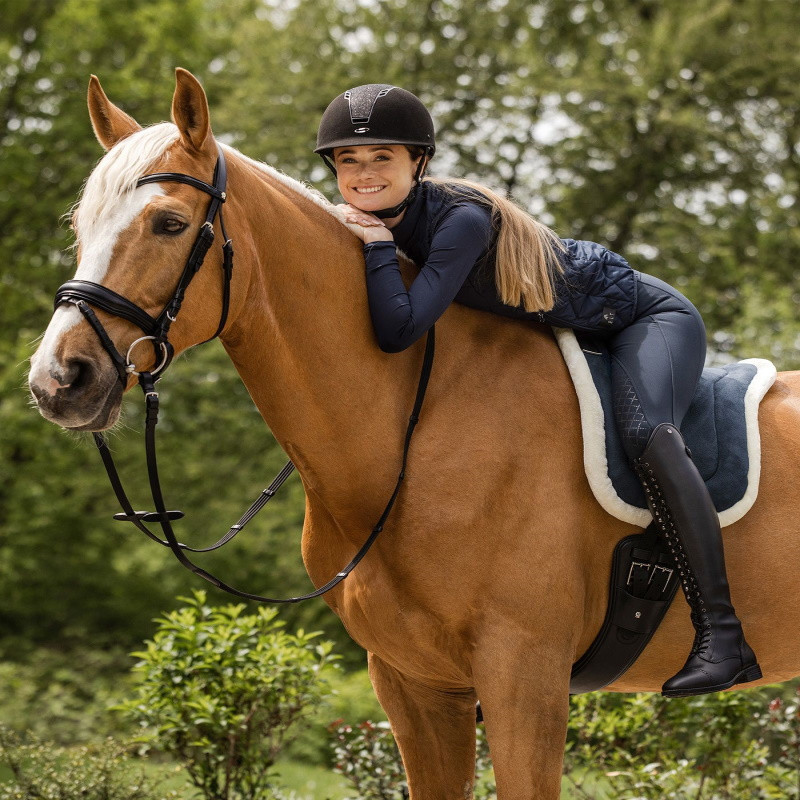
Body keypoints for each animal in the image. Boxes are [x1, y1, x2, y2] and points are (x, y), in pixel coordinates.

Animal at [27, 69, 800, 799]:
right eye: (79, 225)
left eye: (167, 223)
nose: (58, 379)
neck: (416, 432)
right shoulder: (416, 684)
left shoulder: (524, 677)